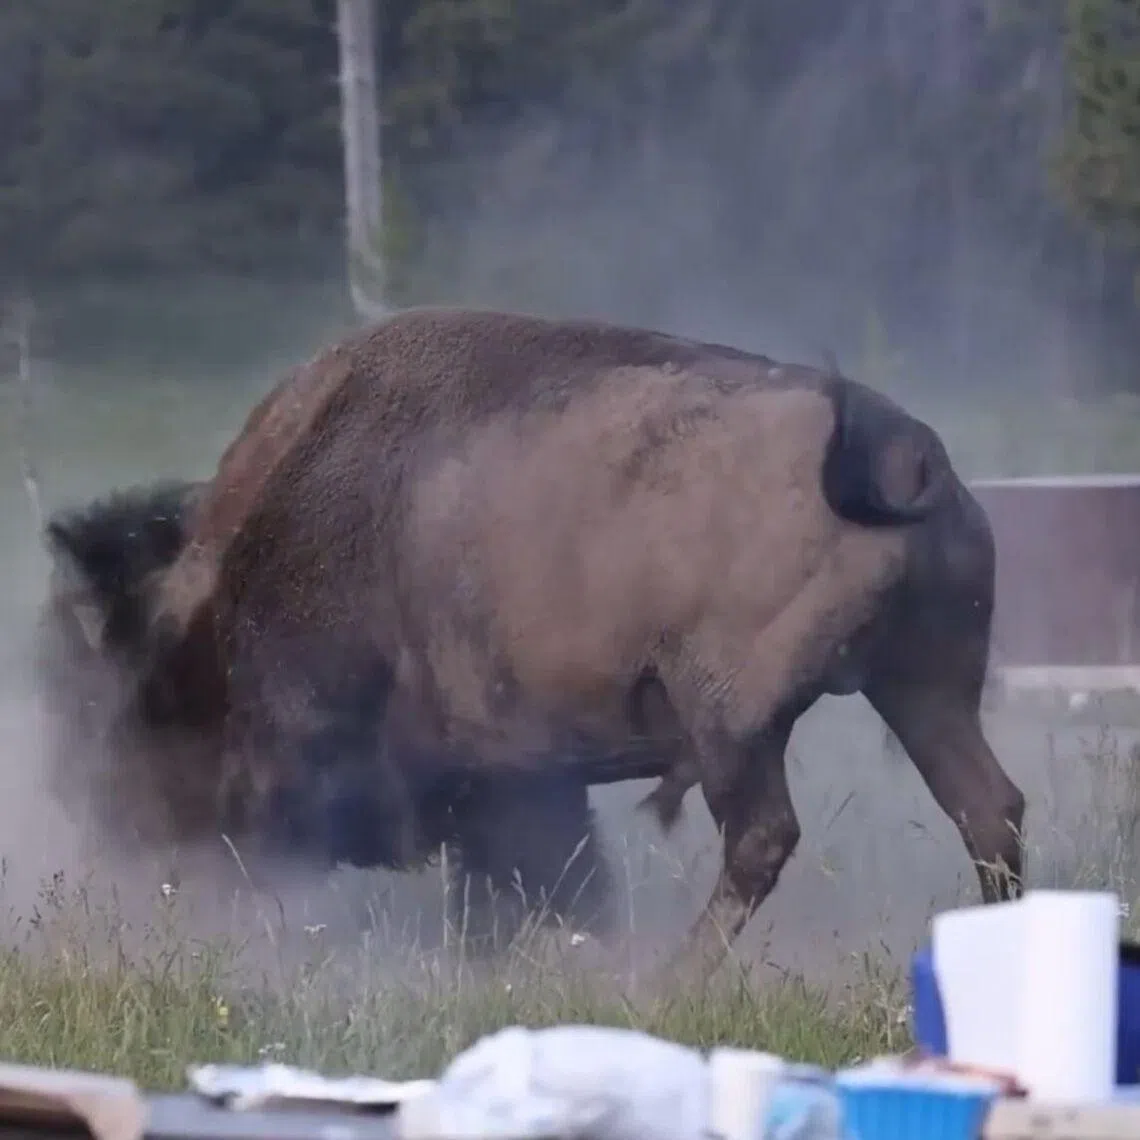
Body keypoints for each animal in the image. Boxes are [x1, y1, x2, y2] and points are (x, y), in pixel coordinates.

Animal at [36, 307, 1026, 979]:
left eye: (125, 694)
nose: (117, 830)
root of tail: (897, 448)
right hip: (924, 688)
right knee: (989, 809)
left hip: (735, 722)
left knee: (763, 837)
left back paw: (669, 980)